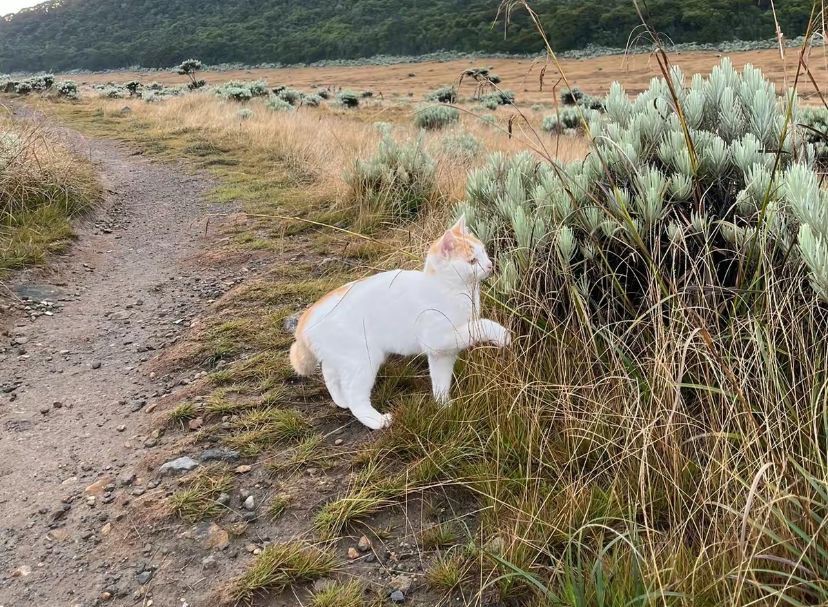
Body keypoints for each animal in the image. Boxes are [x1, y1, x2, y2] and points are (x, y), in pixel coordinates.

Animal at [290, 216, 512, 430]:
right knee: (355, 396)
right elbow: (481, 325)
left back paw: (340, 400)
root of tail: (306, 318)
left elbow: (441, 382)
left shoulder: (442, 354)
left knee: (329, 374)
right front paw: (502, 335)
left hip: (341, 358)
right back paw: (375, 420)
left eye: (484, 252)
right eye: (472, 261)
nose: (490, 265)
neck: (452, 289)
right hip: (363, 361)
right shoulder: (441, 338)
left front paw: (444, 406)